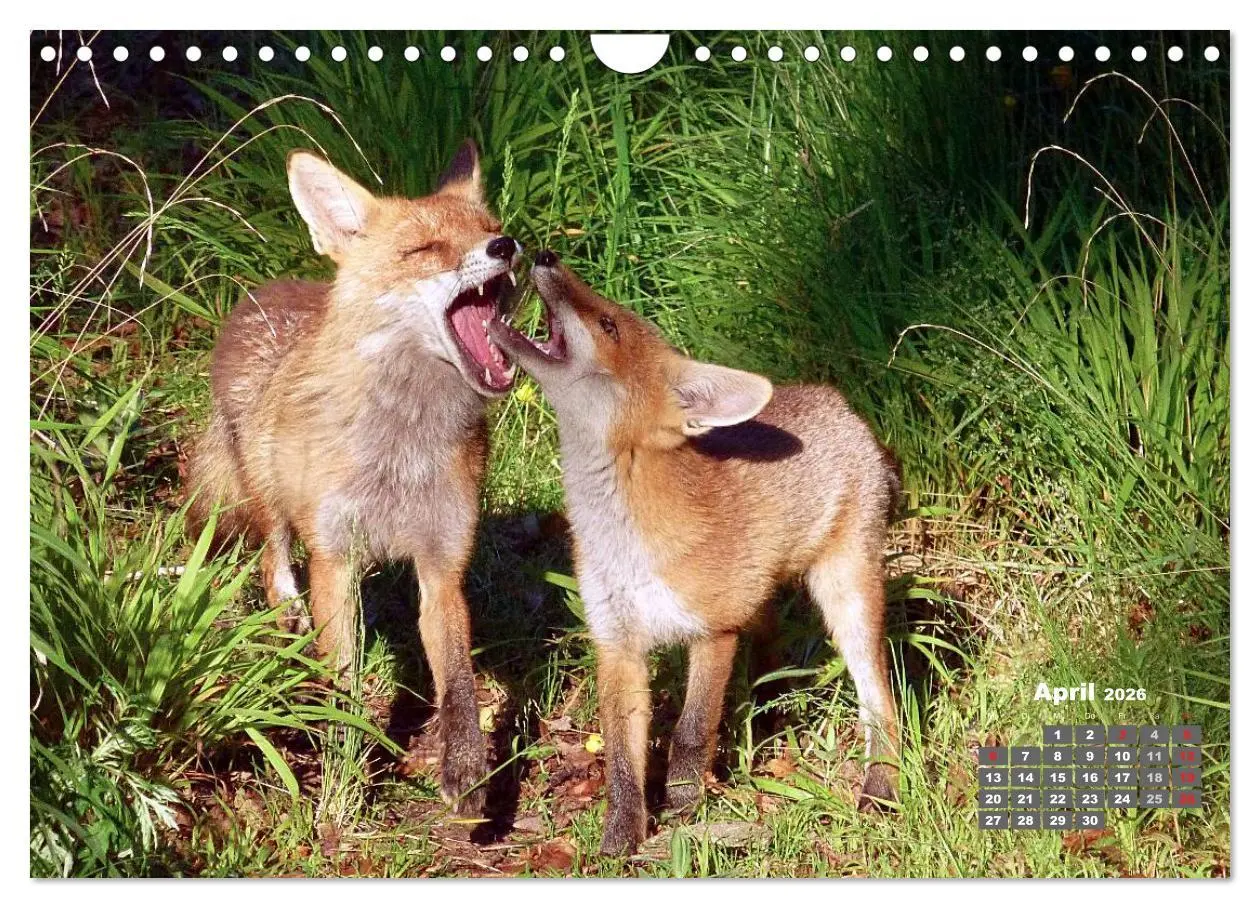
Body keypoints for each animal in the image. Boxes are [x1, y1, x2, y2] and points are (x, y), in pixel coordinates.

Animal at [185, 141, 522, 815]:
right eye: (425, 249)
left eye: (489, 229)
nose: (508, 247)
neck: (400, 450)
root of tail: (268, 290)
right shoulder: (334, 555)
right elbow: (343, 680)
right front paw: (342, 768)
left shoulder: (443, 560)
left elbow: (458, 681)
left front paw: (467, 770)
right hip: (267, 495)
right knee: (271, 560)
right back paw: (288, 617)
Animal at [489, 252, 902, 854]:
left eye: (608, 324)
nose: (544, 256)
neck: (624, 544)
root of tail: (838, 401)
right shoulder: (617, 642)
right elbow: (621, 758)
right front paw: (621, 838)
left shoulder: (715, 630)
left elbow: (689, 732)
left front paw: (684, 808)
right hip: (764, 602)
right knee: (771, 656)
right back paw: (769, 723)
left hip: (846, 598)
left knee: (881, 700)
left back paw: (882, 786)